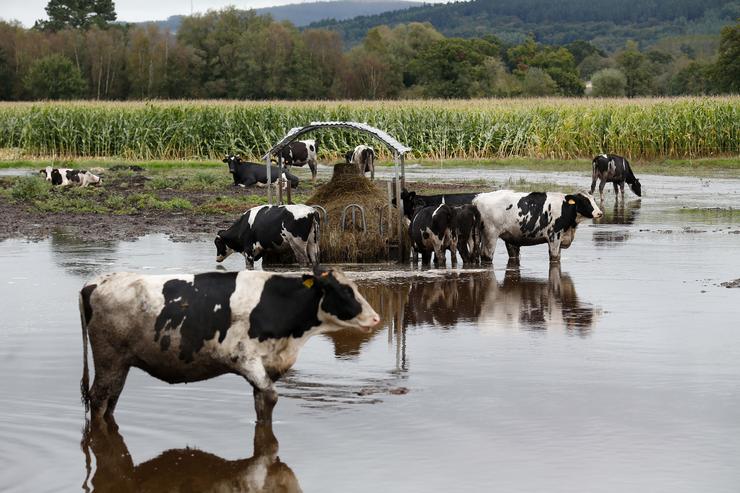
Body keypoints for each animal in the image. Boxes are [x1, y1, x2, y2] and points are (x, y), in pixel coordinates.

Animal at [79, 266, 382, 422]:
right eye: (343, 291)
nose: (376, 318)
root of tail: (95, 282)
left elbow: (262, 404)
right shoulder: (245, 358)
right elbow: (270, 398)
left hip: (121, 364)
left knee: (111, 400)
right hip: (108, 359)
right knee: (98, 399)